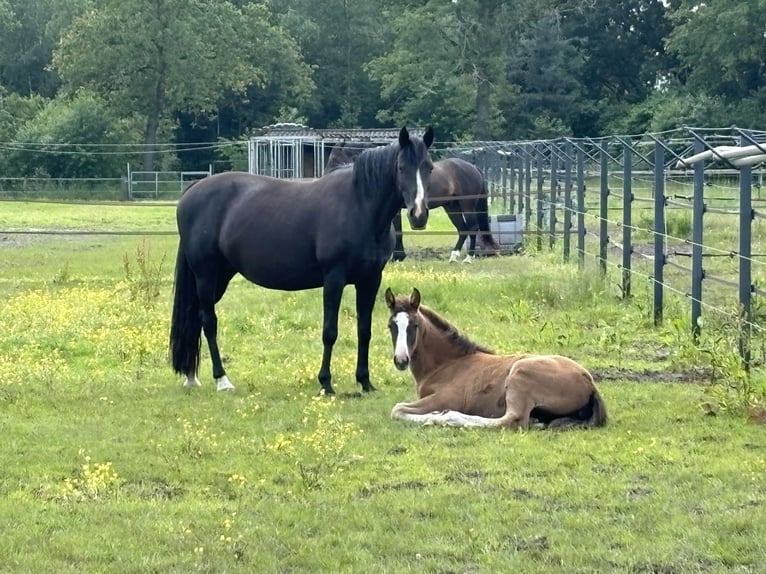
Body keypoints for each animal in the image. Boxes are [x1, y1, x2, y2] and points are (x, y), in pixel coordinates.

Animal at [169, 126, 436, 396]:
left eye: (429, 167)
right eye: (401, 167)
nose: (418, 215)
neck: (359, 206)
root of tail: (194, 189)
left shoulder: (370, 279)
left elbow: (364, 330)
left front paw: (365, 381)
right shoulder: (334, 278)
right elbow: (330, 331)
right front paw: (326, 383)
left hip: (219, 276)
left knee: (196, 318)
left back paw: (191, 376)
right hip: (206, 275)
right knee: (208, 321)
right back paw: (222, 380)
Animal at [326, 143, 500, 264]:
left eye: (334, 156)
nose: (328, 172)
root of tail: (472, 167)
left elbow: (398, 231)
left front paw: (397, 257)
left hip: (467, 205)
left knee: (472, 228)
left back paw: (468, 258)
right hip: (452, 206)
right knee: (462, 229)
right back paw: (453, 257)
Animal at [388, 290, 608, 430]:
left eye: (414, 325)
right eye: (391, 326)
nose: (401, 360)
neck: (447, 363)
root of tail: (590, 382)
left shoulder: (446, 398)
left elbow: (397, 409)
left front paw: (434, 416)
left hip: (520, 373)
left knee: (513, 420)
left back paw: (449, 418)